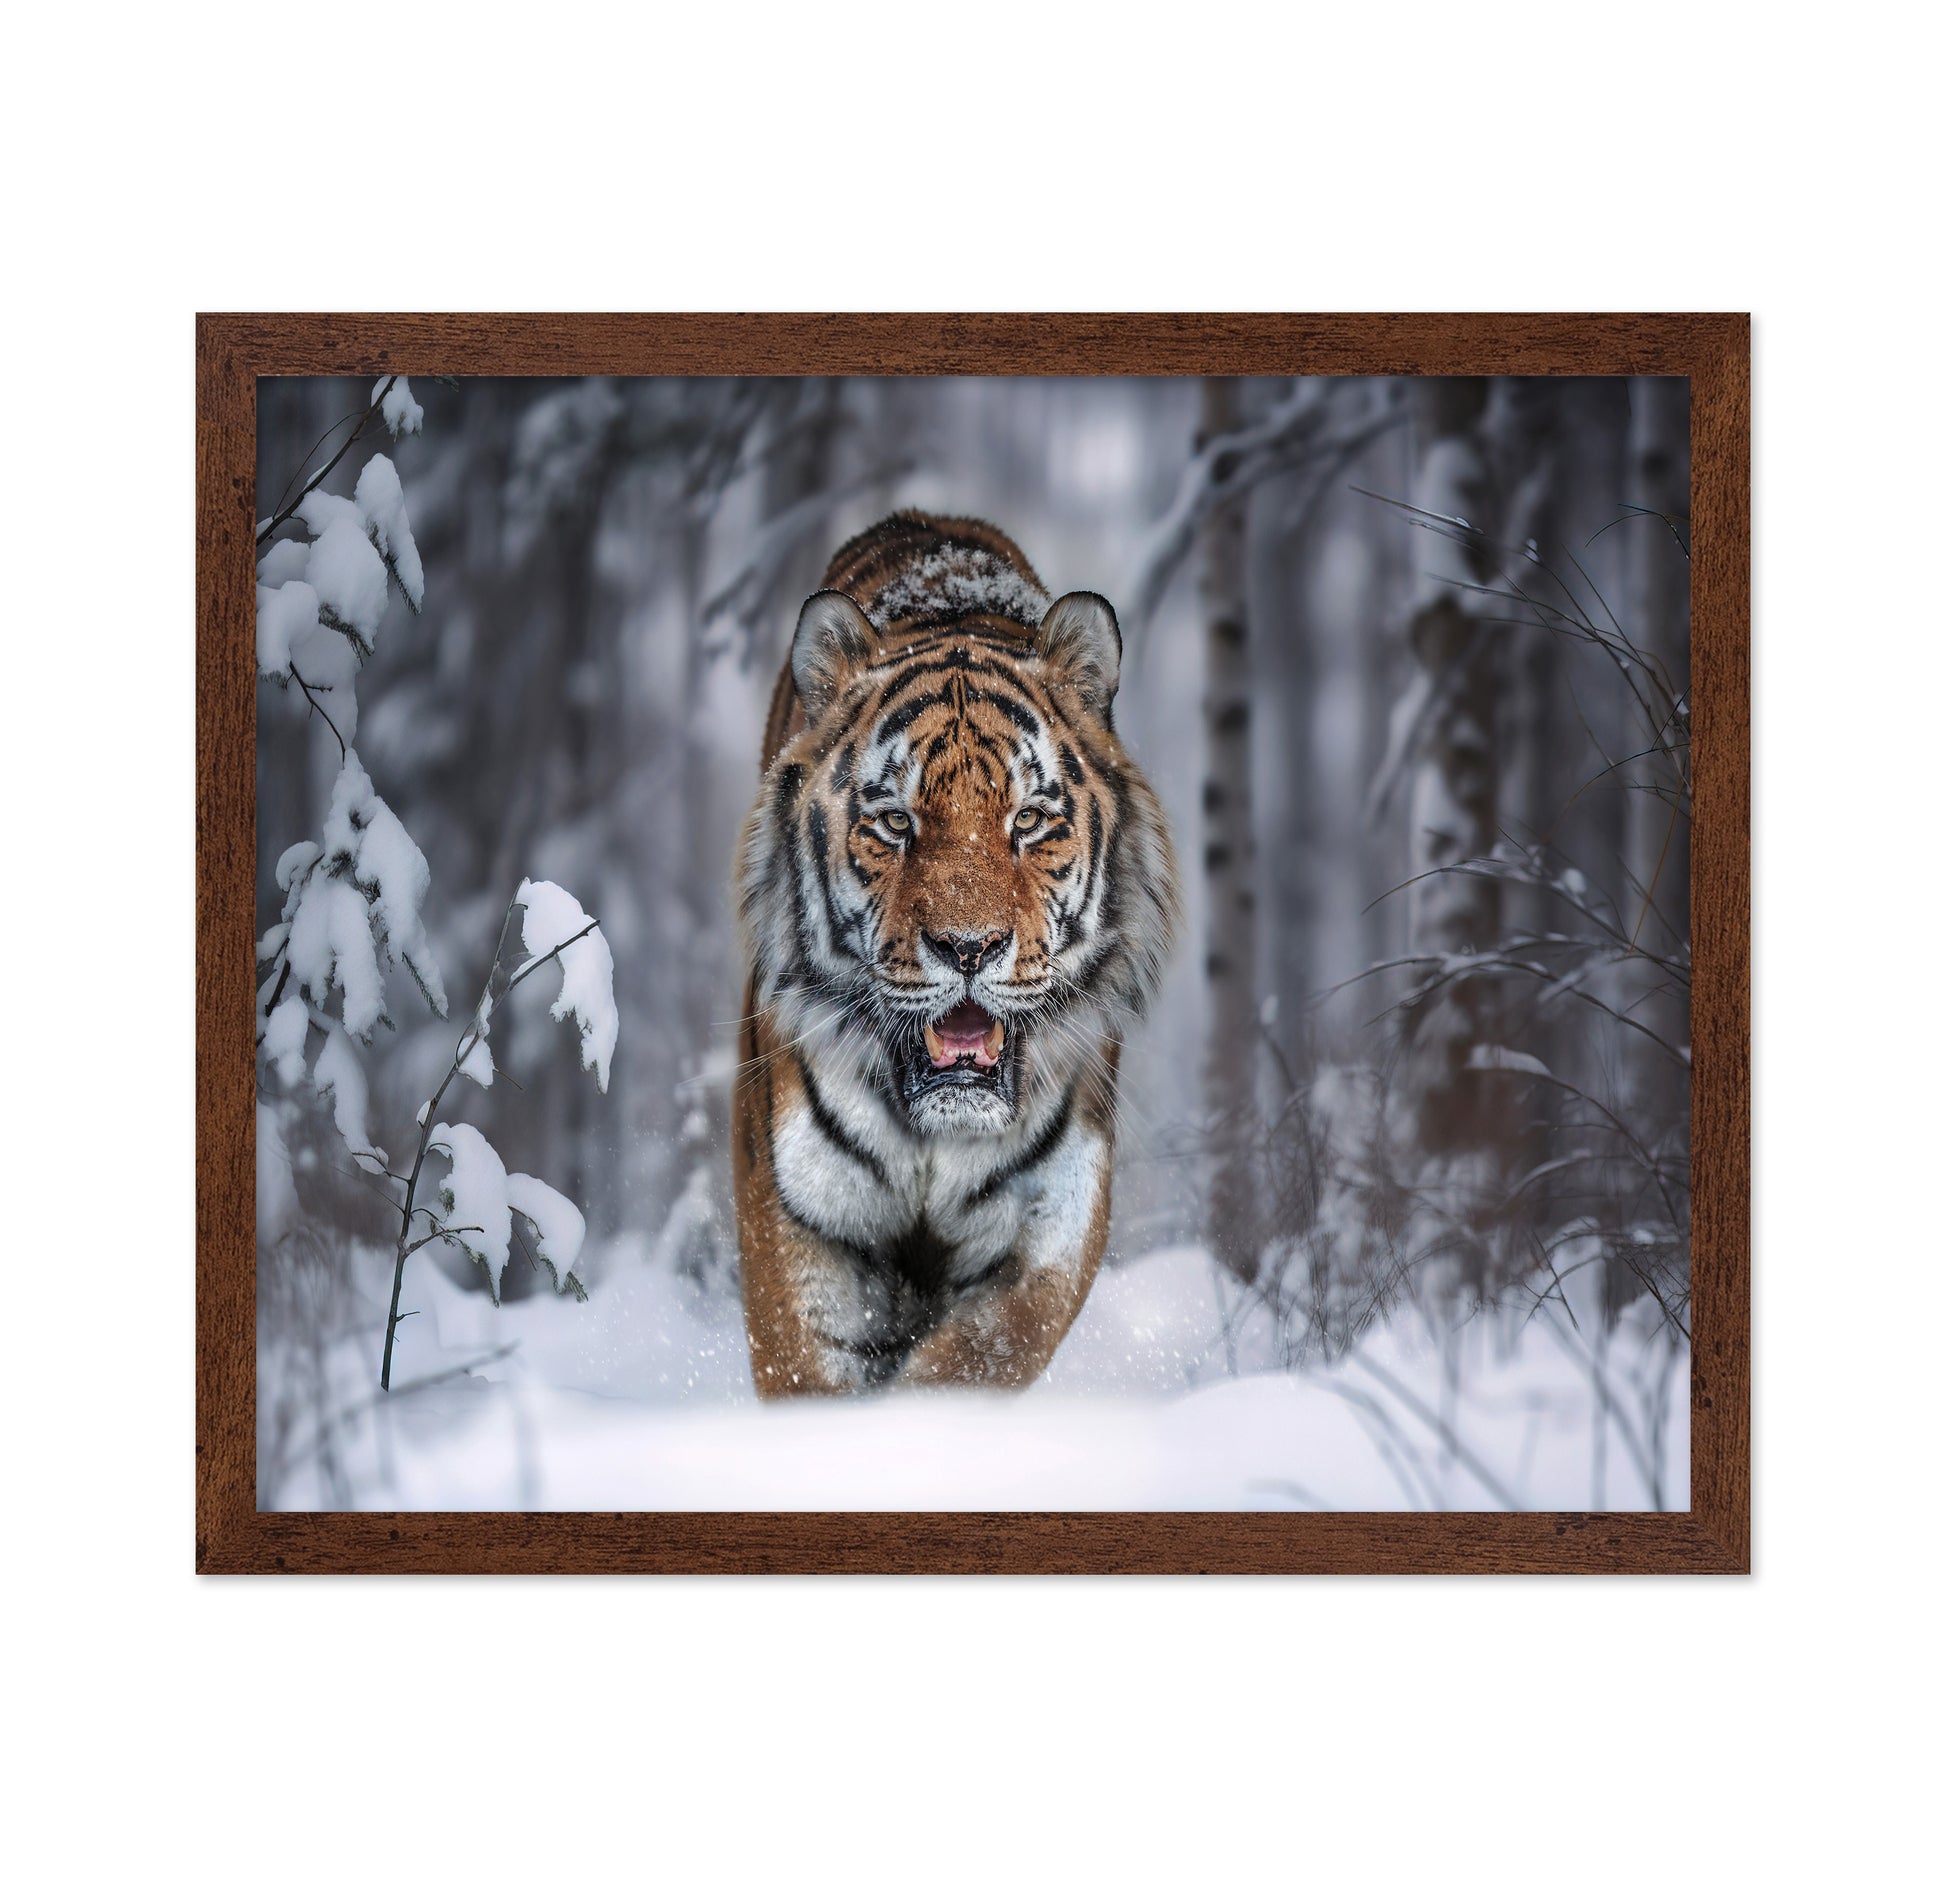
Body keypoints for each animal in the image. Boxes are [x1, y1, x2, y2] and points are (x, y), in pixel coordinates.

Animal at [732, 511, 1179, 1396]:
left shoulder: (1051, 1223)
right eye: (895, 822)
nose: (968, 947)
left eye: (1029, 820)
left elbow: (971, 1364)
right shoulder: (795, 1210)